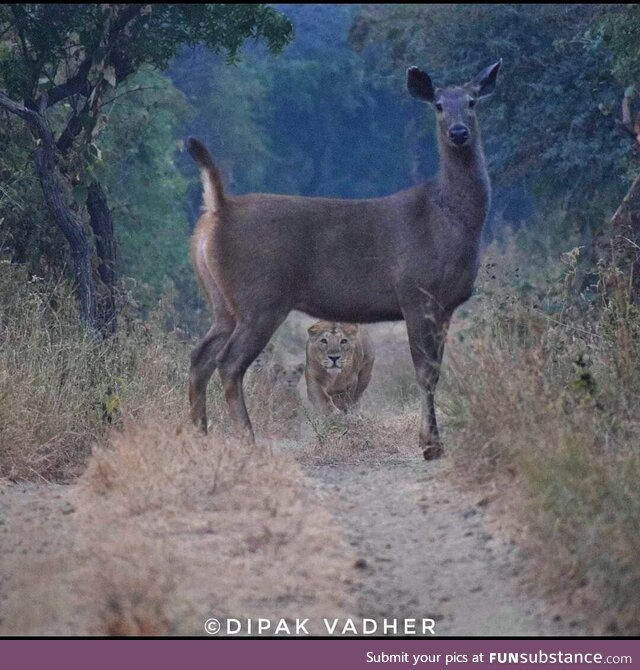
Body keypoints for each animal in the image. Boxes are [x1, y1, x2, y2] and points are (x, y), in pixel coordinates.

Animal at [188, 60, 502, 462]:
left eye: (473, 101)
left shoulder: (445, 305)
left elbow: (435, 371)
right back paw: (246, 438)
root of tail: (218, 210)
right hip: (260, 298)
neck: (447, 218)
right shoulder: (416, 293)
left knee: (200, 357)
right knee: (228, 363)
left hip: (223, 302)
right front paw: (430, 444)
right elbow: (424, 372)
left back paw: (198, 434)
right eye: (438, 105)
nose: (459, 132)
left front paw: (432, 441)